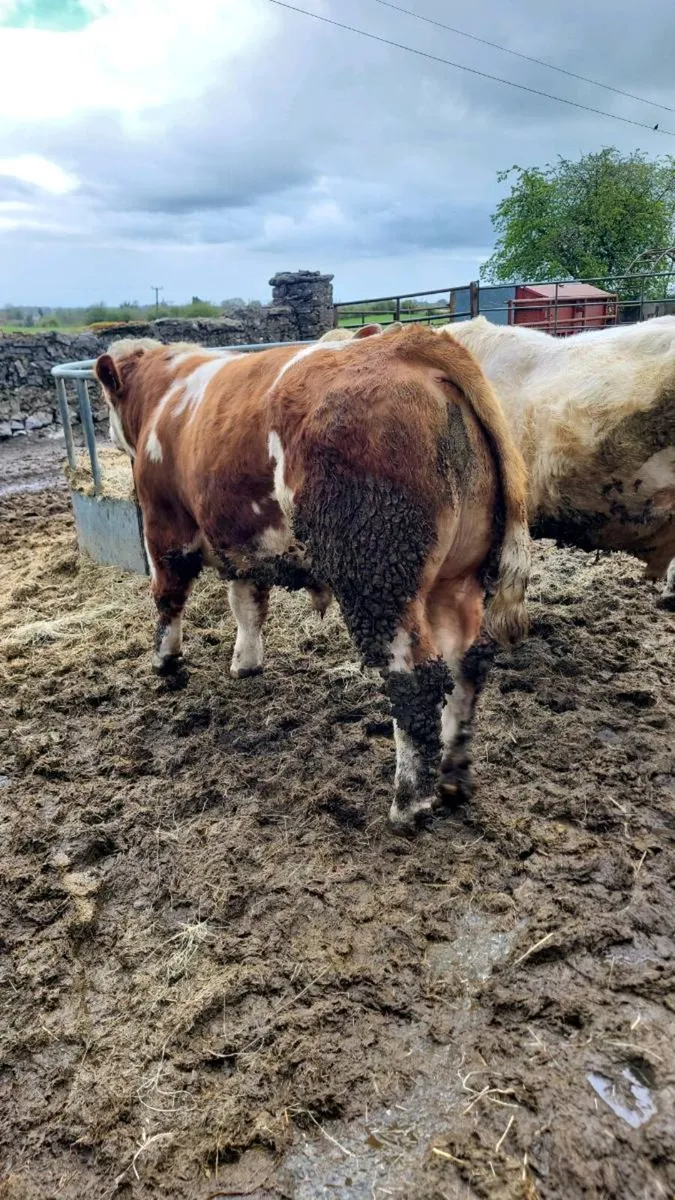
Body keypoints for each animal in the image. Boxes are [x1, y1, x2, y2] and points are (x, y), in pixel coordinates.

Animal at [94, 326, 530, 831]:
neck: (166, 394)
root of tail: (407, 347)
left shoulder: (165, 528)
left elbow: (168, 598)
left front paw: (165, 662)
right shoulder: (245, 542)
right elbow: (247, 604)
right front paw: (245, 663)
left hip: (379, 579)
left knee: (415, 678)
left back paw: (409, 803)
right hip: (458, 580)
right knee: (467, 665)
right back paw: (452, 779)